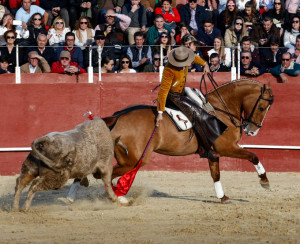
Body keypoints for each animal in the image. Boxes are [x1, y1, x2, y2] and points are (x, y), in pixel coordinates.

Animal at [101, 79, 274, 203]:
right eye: (261, 107)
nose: (252, 130)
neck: (220, 111)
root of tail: (117, 117)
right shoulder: (226, 147)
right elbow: (253, 156)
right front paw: (265, 181)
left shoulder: (213, 153)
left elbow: (215, 174)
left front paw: (222, 197)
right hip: (133, 160)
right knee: (108, 175)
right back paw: (117, 197)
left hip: (127, 160)